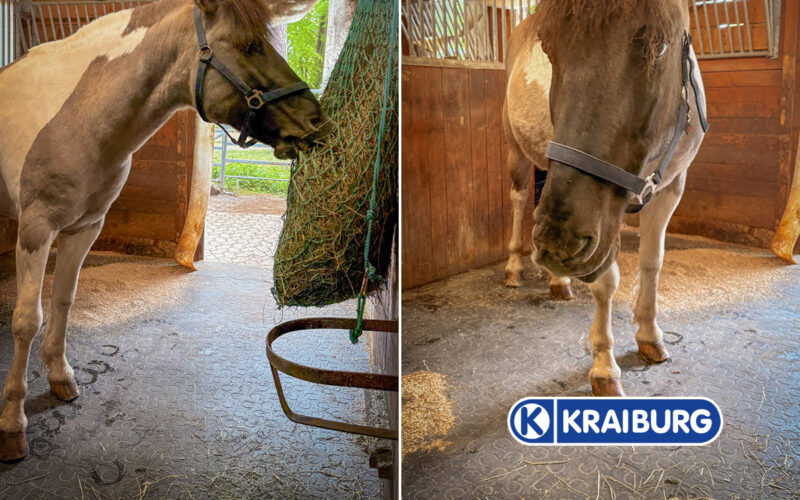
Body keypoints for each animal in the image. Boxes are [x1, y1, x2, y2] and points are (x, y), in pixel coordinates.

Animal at [0, 0, 331, 461]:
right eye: (249, 46)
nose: (318, 123)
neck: (76, 114)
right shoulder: (36, 228)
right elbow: (27, 319)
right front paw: (12, 422)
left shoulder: (84, 227)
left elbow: (64, 301)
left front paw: (61, 376)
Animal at [503, 0, 707, 396]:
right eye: (547, 47)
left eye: (659, 45)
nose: (558, 245)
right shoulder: (598, 223)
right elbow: (606, 281)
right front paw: (603, 367)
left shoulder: (671, 187)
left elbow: (652, 263)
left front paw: (649, 335)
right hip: (517, 151)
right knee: (519, 201)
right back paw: (514, 267)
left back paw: (558, 282)